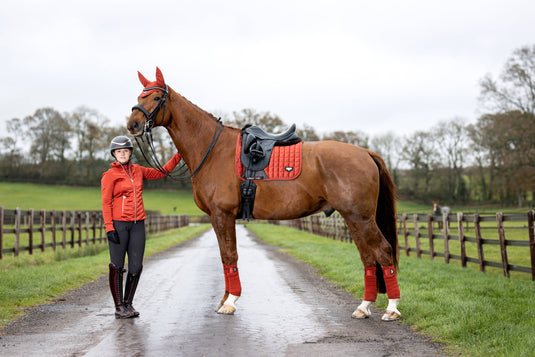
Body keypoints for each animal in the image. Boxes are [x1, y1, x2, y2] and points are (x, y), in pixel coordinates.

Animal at [126, 67, 402, 320]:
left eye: (155, 97)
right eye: (139, 96)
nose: (133, 125)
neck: (213, 150)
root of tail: (365, 153)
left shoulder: (223, 215)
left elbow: (230, 255)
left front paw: (231, 301)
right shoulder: (218, 218)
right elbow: (225, 258)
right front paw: (225, 299)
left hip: (360, 218)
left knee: (383, 252)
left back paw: (391, 309)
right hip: (354, 218)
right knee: (368, 258)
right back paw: (363, 307)